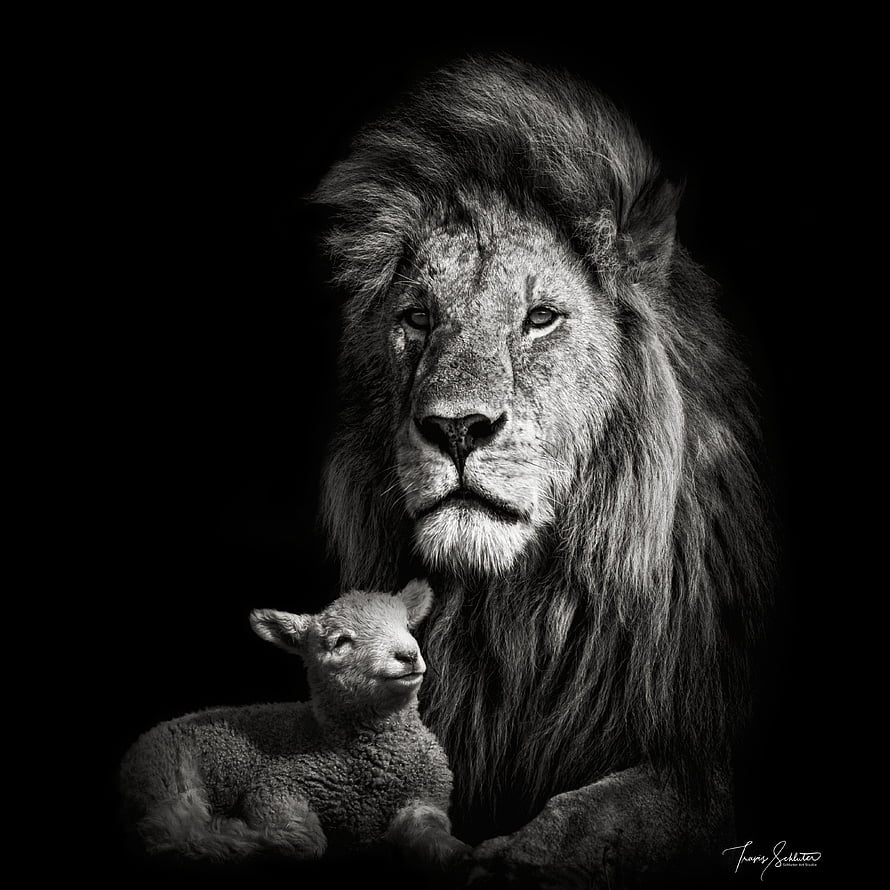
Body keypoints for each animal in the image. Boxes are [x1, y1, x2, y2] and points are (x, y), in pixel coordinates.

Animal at [118, 579, 468, 867]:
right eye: (340, 641)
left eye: (407, 625)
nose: (408, 655)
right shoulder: (275, 787)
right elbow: (304, 841)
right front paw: (245, 835)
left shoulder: (428, 797)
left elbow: (431, 832)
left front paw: (463, 856)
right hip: (168, 777)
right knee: (170, 835)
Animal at [312, 55, 772, 886]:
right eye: (417, 318)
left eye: (540, 318)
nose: (456, 428)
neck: (518, 617)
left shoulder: (701, 762)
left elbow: (595, 819)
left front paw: (507, 862)